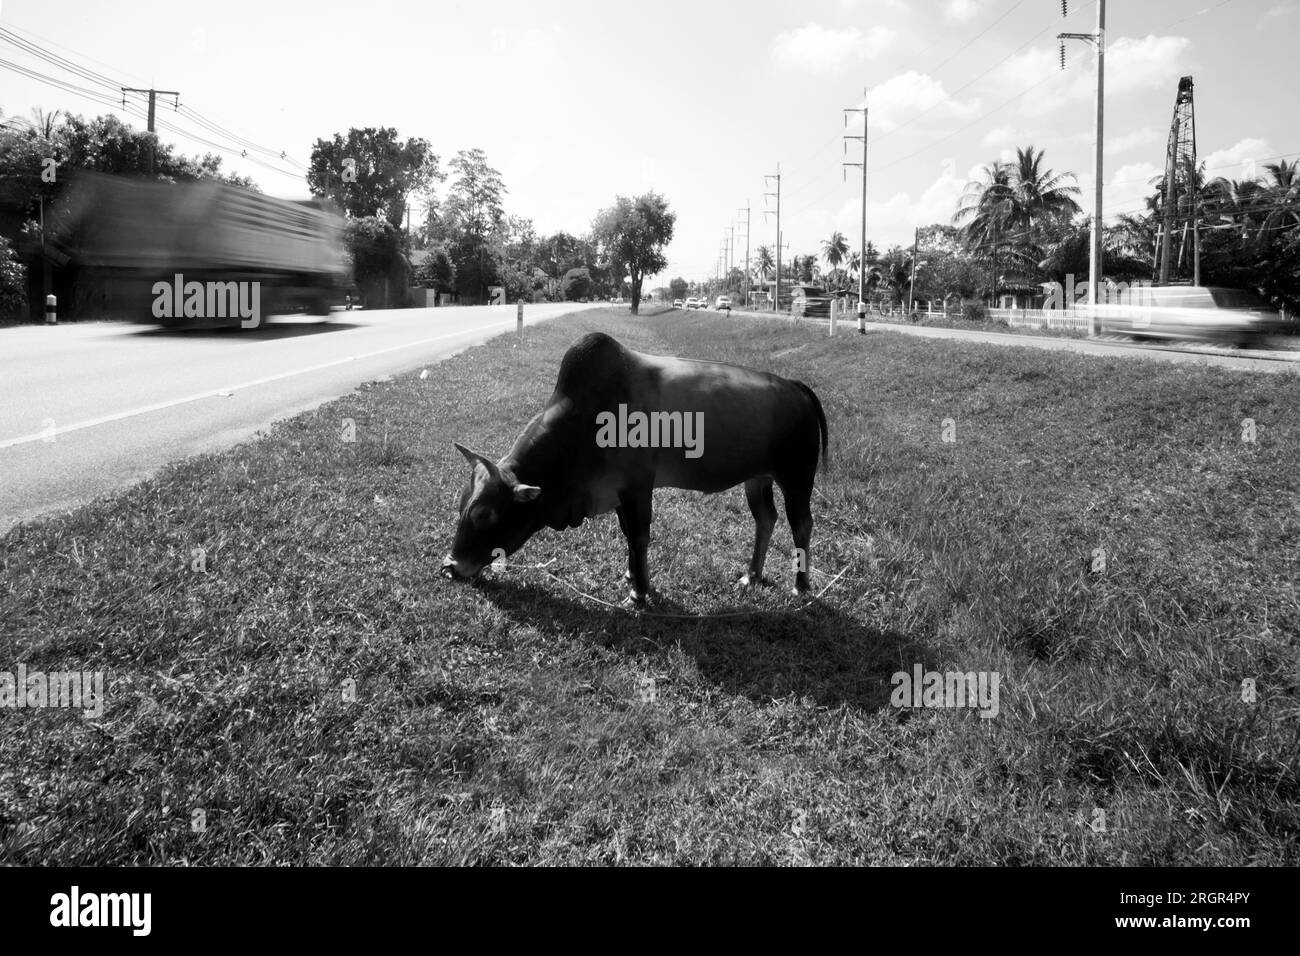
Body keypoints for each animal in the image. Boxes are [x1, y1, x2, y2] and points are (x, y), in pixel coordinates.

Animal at [441, 335, 826, 606]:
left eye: (484, 514)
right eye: (461, 506)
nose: (450, 566)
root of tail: (796, 386)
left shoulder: (637, 488)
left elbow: (639, 536)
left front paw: (639, 593)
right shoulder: (617, 494)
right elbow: (628, 535)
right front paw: (632, 577)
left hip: (797, 478)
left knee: (801, 525)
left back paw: (800, 587)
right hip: (757, 478)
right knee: (766, 519)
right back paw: (751, 575)